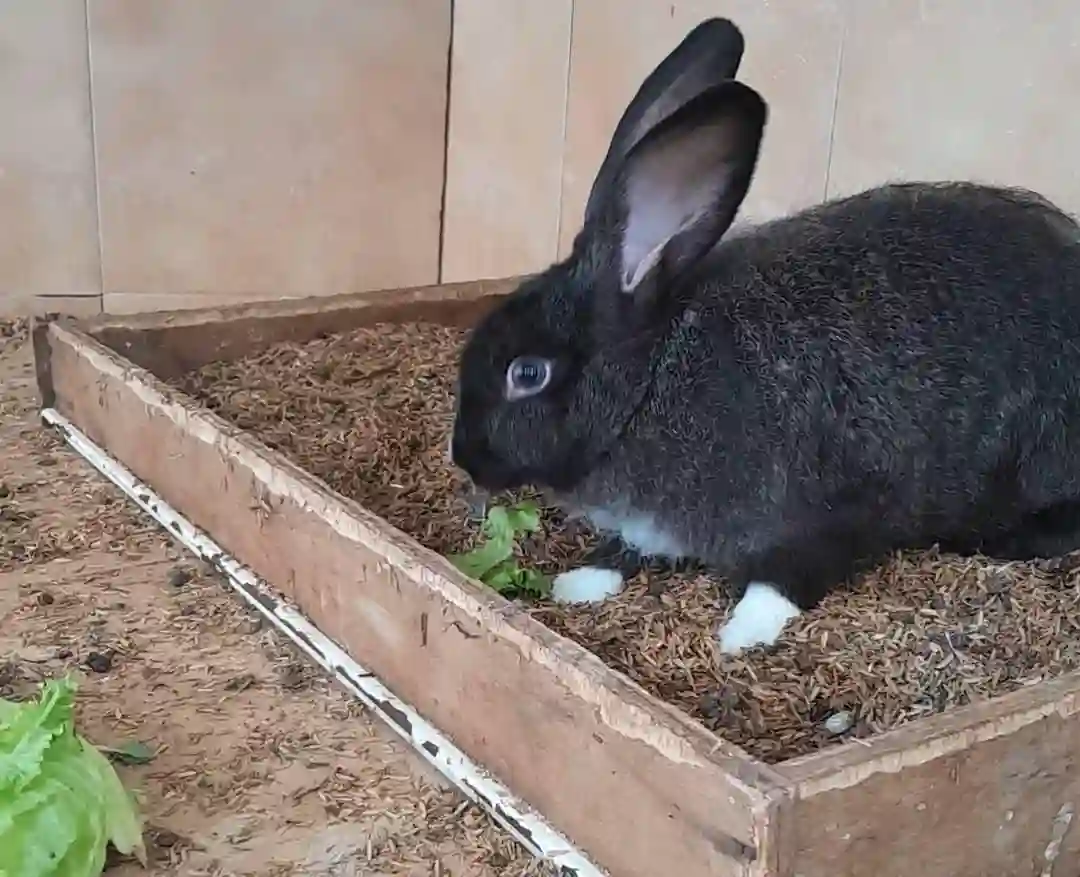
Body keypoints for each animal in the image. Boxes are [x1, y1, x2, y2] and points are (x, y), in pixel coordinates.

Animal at [447, 15, 1080, 656]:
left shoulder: (829, 512)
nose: (465, 457)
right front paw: (579, 581)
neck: (650, 382)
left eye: (528, 373)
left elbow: (784, 578)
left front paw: (741, 634)